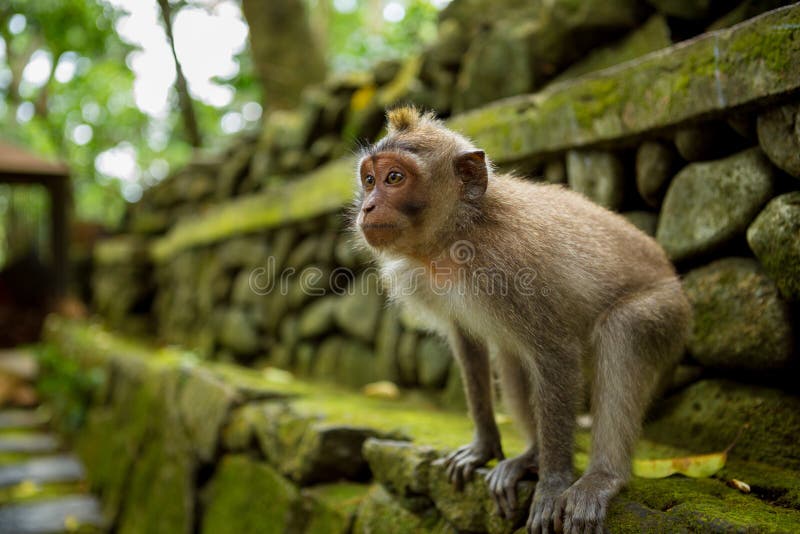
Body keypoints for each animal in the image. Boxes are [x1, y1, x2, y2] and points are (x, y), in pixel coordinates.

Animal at [354, 107, 692, 532]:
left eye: (394, 178)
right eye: (369, 180)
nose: (367, 207)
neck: (461, 232)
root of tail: (674, 278)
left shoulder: (512, 266)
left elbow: (555, 353)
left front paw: (553, 483)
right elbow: (469, 344)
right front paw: (483, 447)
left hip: (668, 315)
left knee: (625, 331)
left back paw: (601, 477)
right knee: (510, 351)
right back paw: (530, 455)